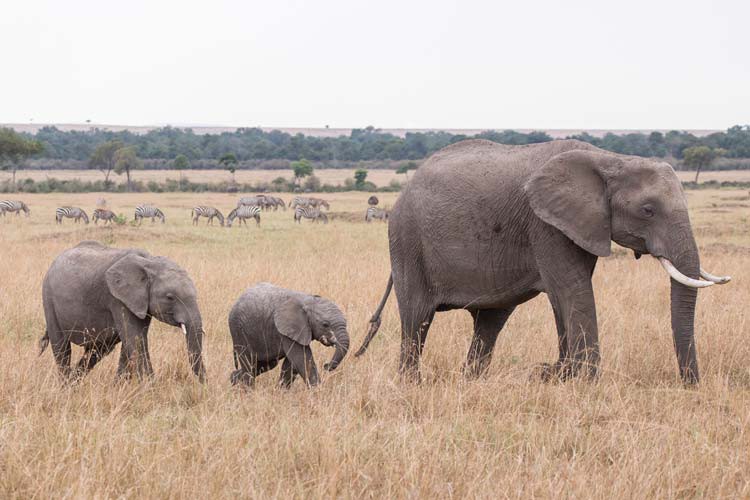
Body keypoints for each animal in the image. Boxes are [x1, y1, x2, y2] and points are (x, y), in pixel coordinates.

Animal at [40, 240, 207, 380]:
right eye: (170, 297)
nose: (203, 387)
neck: (149, 261)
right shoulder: (117, 299)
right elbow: (135, 340)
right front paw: (151, 389)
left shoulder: (138, 302)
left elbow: (131, 343)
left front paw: (120, 386)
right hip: (48, 298)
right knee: (62, 348)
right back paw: (65, 386)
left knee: (97, 351)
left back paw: (73, 383)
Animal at [358, 139, 736, 384]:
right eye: (647, 210)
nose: (691, 385)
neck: (609, 159)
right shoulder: (545, 224)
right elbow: (573, 290)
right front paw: (584, 381)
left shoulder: (576, 224)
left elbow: (563, 297)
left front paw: (559, 374)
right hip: (406, 241)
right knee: (417, 319)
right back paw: (411, 384)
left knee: (489, 322)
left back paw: (472, 381)